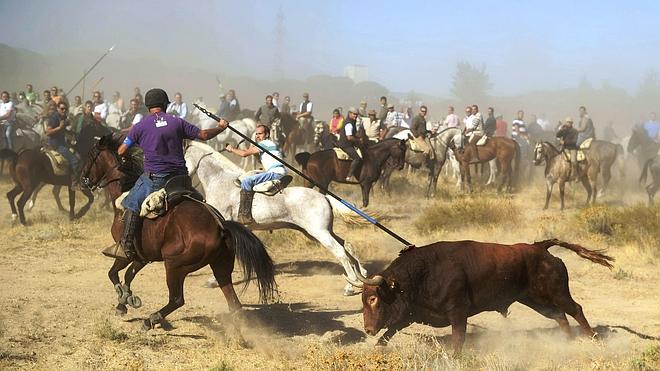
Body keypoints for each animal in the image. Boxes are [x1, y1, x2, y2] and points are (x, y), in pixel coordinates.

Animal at [80, 134, 276, 332]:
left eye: (91, 156)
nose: (82, 181)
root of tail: (221, 227)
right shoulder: (143, 256)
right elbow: (128, 275)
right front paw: (124, 301)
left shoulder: (125, 253)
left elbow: (113, 273)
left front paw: (123, 298)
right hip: (220, 267)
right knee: (234, 303)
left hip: (175, 266)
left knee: (177, 299)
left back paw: (151, 320)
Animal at [184, 141, 372, 298]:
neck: (219, 180)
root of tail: (324, 197)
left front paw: (213, 281)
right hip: (319, 232)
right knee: (347, 246)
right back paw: (360, 276)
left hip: (319, 233)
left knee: (341, 252)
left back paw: (351, 286)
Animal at [346, 238, 612, 354]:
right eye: (363, 299)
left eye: (374, 299)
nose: (368, 329)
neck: (422, 274)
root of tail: (539, 247)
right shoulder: (411, 314)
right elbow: (389, 333)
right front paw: (376, 347)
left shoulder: (458, 313)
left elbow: (458, 340)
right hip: (535, 300)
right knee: (559, 316)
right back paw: (566, 343)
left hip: (557, 292)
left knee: (575, 309)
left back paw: (594, 339)